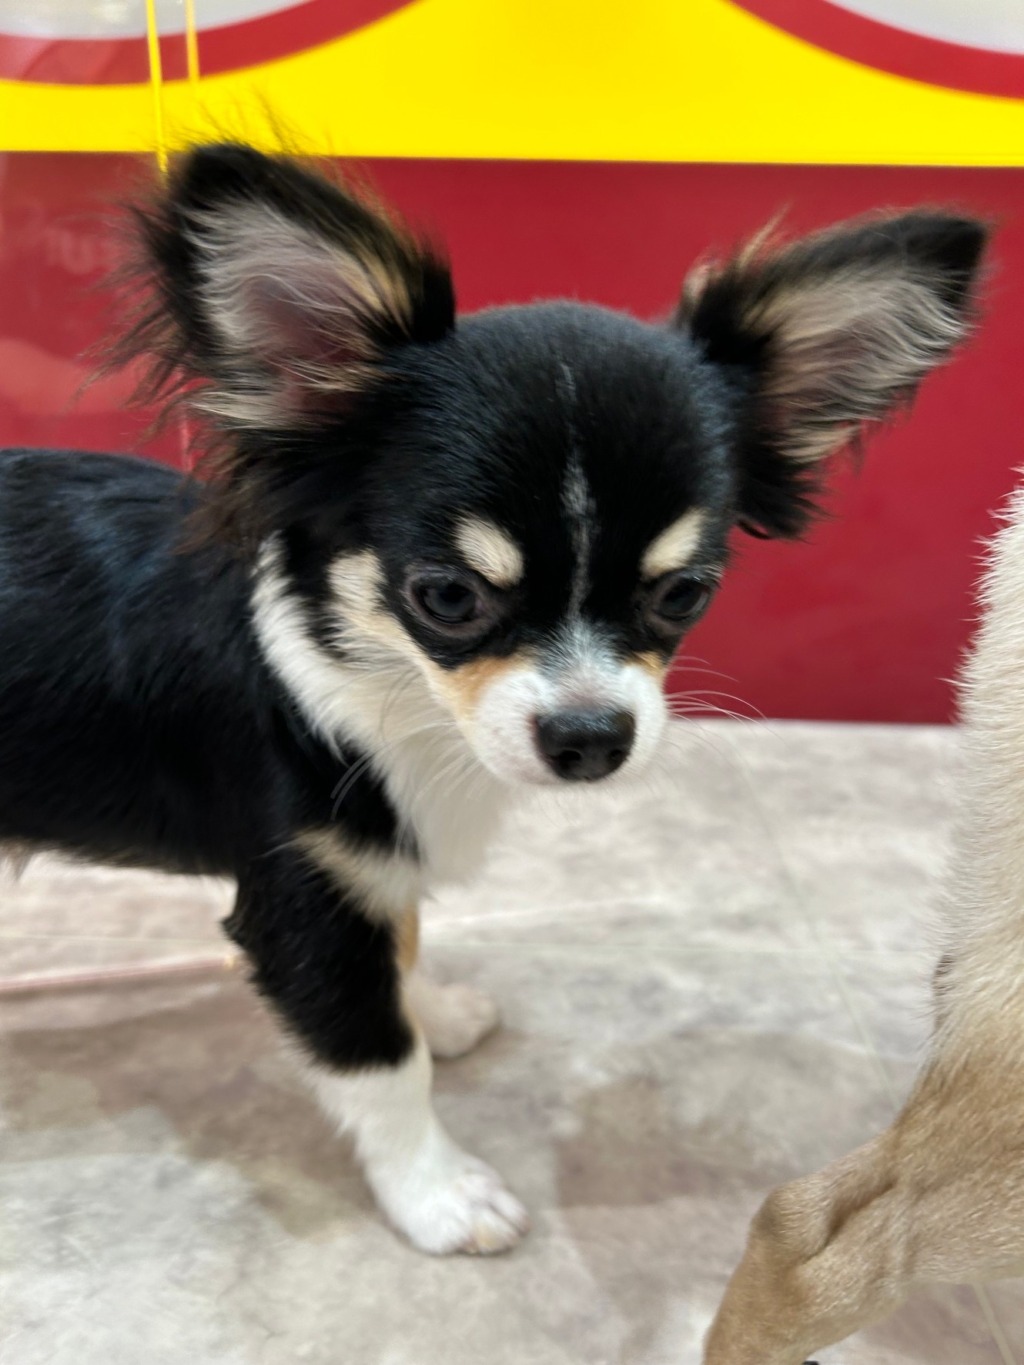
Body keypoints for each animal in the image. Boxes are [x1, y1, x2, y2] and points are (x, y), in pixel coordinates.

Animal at [0, 143, 986, 1256]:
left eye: (684, 593)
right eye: (447, 597)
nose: (592, 736)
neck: (401, 692)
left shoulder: (374, 869)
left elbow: (402, 946)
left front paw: (430, 1005)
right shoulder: (304, 903)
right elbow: (379, 1060)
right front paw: (438, 1195)